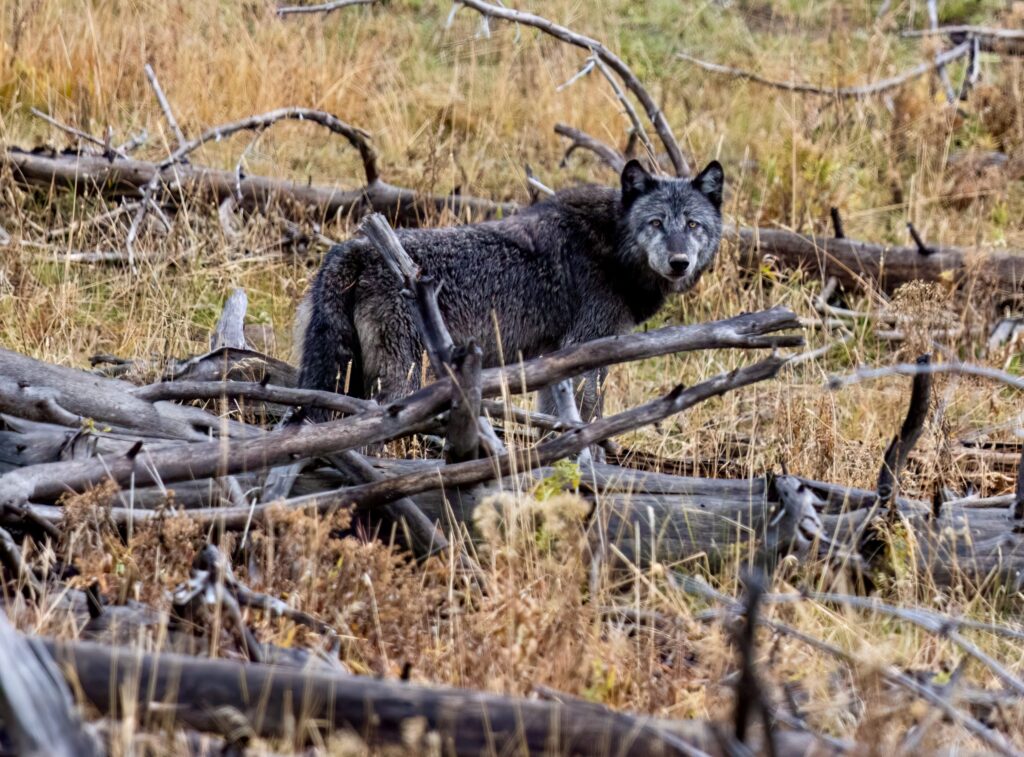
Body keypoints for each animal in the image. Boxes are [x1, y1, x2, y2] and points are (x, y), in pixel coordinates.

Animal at [295, 159, 724, 419]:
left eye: (693, 225)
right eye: (656, 223)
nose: (679, 262)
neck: (612, 246)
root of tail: (349, 250)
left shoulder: (556, 362)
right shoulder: (584, 352)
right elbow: (588, 417)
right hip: (402, 379)